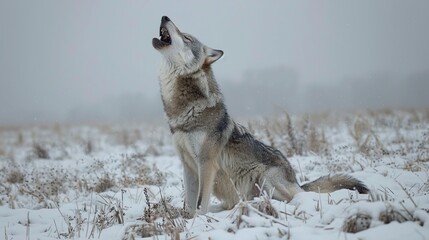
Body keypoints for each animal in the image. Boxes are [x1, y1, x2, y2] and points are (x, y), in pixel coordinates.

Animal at [151, 15, 368, 215]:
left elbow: (199, 203)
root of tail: (297, 181)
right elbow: (190, 204)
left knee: (295, 199)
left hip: (265, 178)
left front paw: (199, 222)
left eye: (186, 37)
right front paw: (188, 220)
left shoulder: (206, 164)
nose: (164, 16)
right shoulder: (188, 166)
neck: (183, 109)